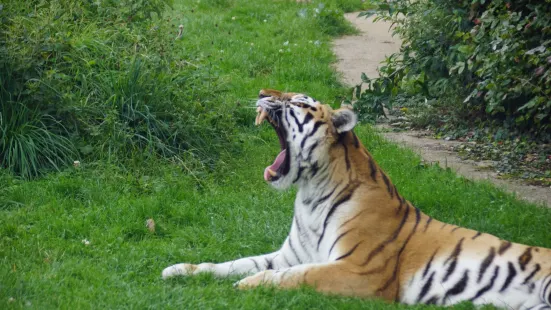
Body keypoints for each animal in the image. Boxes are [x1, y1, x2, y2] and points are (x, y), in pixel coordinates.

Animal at [163, 88, 551, 308]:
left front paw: (248, 286)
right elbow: (232, 263)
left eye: (298, 101)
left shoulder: (358, 270)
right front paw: (179, 270)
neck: (309, 195)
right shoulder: (288, 255)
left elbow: (297, 276)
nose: (261, 90)